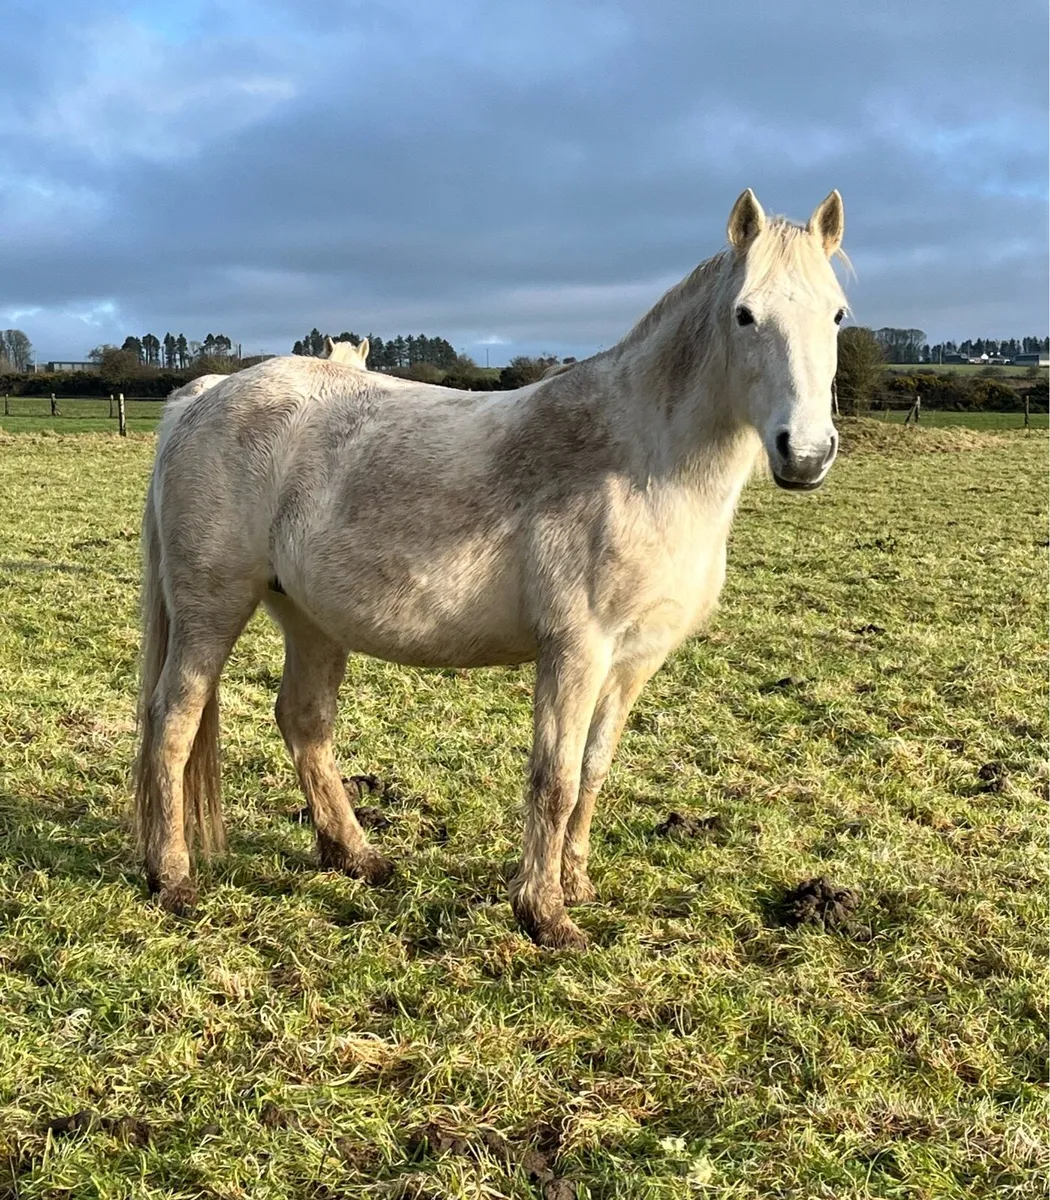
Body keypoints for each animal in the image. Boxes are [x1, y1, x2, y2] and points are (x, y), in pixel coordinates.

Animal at [134, 188, 848, 948]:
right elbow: (555, 777)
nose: (804, 453)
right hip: (212, 607)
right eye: (745, 314)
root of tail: (204, 395)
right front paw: (545, 915)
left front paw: (576, 885)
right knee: (173, 721)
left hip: (310, 618)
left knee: (304, 722)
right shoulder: (575, 648)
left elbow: (594, 769)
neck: (644, 459)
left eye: (837, 314)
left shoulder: (634, 658)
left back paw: (356, 857)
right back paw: (172, 879)